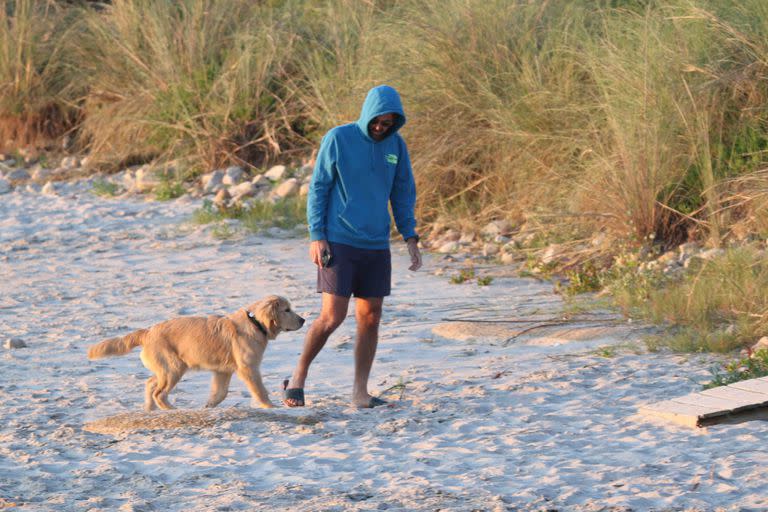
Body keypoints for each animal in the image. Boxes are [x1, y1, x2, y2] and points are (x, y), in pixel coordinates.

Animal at [88, 294, 304, 410]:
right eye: (286, 310)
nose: (303, 320)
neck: (255, 323)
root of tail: (147, 332)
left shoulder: (223, 371)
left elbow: (220, 393)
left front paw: (208, 407)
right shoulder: (248, 368)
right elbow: (260, 390)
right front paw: (271, 406)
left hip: (166, 368)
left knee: (150, 383)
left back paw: (149, 409)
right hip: (174, 367)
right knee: (159, 393)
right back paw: (171, 410)